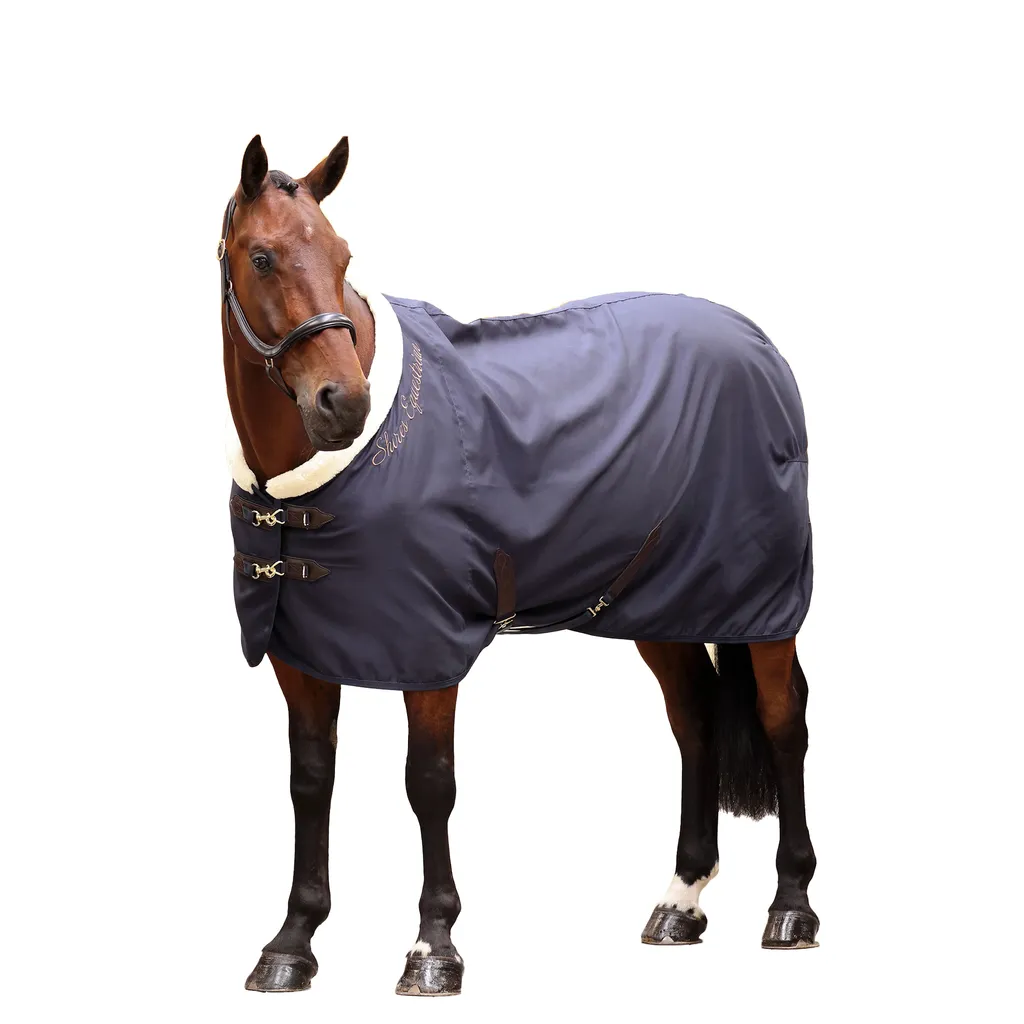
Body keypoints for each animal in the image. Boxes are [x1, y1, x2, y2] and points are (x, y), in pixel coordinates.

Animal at [218, 134, 818, 996]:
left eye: (342, 253)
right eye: (262, 257)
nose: (344, 404)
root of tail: (757, 345)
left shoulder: (428, 650)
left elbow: (429, 783)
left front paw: (434, 948)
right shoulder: (299, 654)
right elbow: (311, 781)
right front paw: (292, 943)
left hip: (764, 604)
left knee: (782, 720)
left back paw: (792, 906)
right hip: (657, 607)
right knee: (695, 718)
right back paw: (680, 903)